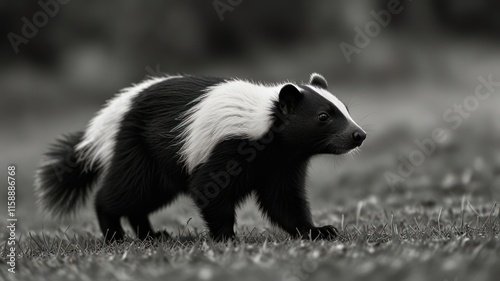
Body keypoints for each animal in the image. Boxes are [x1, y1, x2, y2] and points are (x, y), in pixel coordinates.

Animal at [34, 74, 364, 241]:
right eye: (323, 117)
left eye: (346, 110)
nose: (358, 134)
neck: (267, 127)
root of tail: (116, 111)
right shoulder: (229, 149)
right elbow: (209, 188)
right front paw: (226, 238)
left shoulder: (281, 165)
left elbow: (284, 201)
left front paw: (317, 230)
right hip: (140, 152)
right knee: (119, 193)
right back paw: (114, 234)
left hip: (159, 173)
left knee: (140, 201)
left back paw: (152, 235)